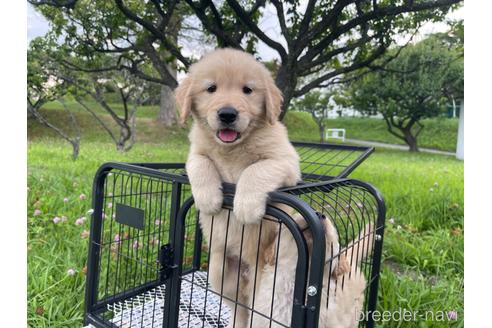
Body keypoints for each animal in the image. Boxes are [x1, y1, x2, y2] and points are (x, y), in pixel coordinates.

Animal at [175, 47, 302, 326]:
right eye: (211, 88)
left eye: (248, 90)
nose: (227, 114)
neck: (231, 149)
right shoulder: (195, 153)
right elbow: (200, 165)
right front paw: (208, 200)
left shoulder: (285, 161)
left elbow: (255, 170)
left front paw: (245, 207)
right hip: (220, 272)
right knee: (237, 308)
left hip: (260, 279)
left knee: (251, 309)